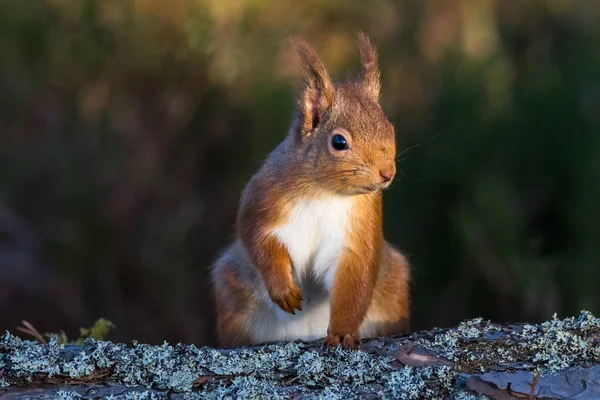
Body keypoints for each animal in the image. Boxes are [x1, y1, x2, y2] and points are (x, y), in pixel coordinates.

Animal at [209, 32, 410, 348]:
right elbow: (256, 238)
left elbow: (354, 280)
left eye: (390, 129)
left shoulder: (359, 228)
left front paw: (342, 332)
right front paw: (283, 291)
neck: (324, 193)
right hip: (231, 287)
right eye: (339, 142)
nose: (387, 172)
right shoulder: (264, 198)